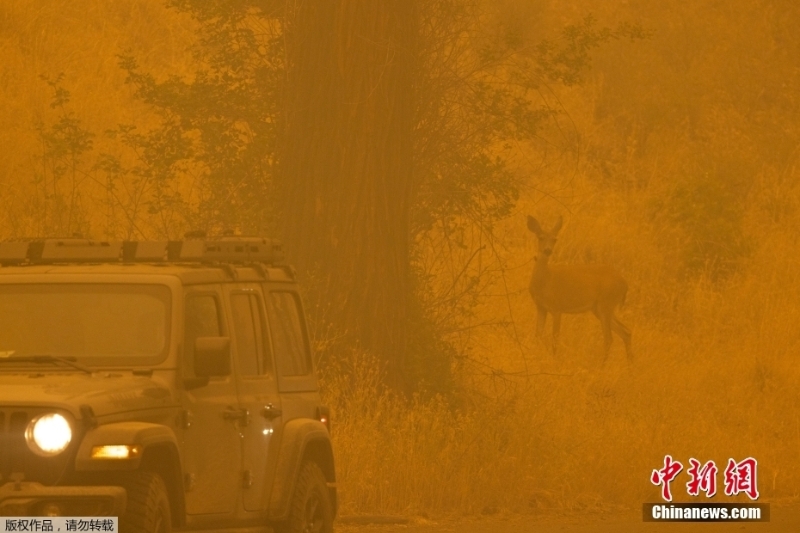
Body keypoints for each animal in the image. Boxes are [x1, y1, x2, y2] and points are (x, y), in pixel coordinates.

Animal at [528, 213, 636, 362]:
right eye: (540, 237)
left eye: (555, 239)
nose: (548, 250)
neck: (545, 281)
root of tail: (625, 284)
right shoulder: (541, 307)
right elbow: (537, 336)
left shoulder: (557, 307)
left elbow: (555, 339)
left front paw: (554, 360)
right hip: (599, 308)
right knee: (626, 331)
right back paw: (630, 364)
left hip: (605, 304)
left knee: (609, 338)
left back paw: (601, 365)